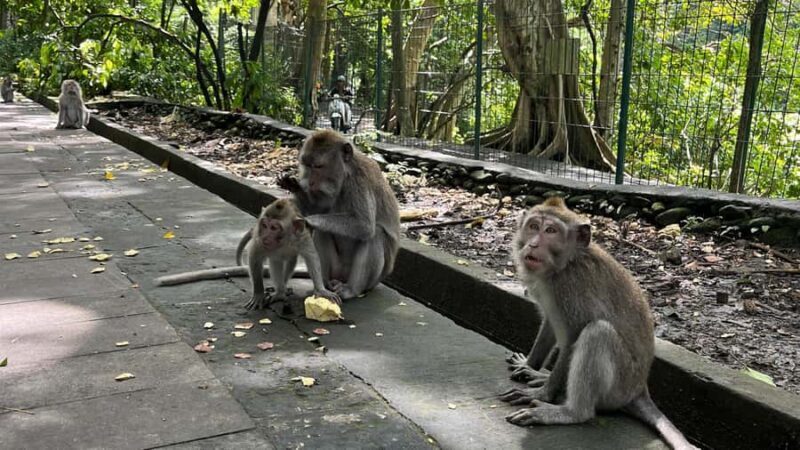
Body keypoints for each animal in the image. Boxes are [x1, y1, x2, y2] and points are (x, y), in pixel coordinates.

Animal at [154, 198, 340, 309]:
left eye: (274, 227)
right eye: (264, 225)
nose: (265, 236)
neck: (284, 240)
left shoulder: (301, 237)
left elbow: (311, 257)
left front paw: (321, 290)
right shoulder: (259, 241)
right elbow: (255, 258)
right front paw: (258, 294)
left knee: (290, 260)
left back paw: (283, 289)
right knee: (276, 262)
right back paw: (280, 291)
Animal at [277, 130, 400, 300]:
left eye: (318, 166)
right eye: (307, 165)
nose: (310, 183)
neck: (345, 177)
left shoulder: (359, 182)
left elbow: (364, 225)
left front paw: (309, 221)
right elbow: (316, 209)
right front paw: (293, 186)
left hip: (372, 280)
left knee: (375, 234)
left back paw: (352, 290)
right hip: (336, 269)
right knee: (323, 231)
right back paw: (323, 285)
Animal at [498, 197, 697, 450]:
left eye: (551, 231)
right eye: (533, 227)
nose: (533, 245)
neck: (566, 265)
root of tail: (639, 389)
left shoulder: (571, 287)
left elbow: (574, 336)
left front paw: (542, 394)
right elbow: (550, 325)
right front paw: (530, 365)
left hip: (619, 386)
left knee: (597, 332)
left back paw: (570, 412)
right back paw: (541, 376)